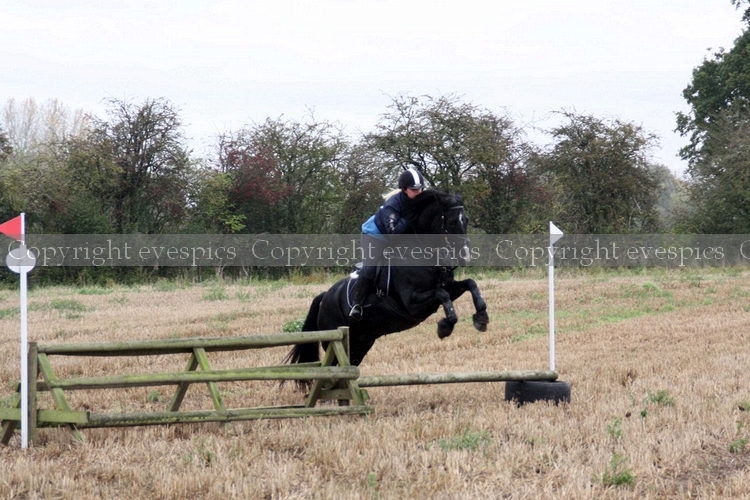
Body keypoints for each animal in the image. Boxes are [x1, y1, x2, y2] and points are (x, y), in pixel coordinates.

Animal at [285, 190, 489, 370]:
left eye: (467, 220)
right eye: (452, 221)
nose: (465, 256)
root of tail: (326, 295)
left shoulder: (447, 288)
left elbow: (469, 283)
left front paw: (481, 317)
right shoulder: (413, 304)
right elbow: (443, 294)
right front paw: (445, 327)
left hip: (361, 342)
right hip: (335, 340)